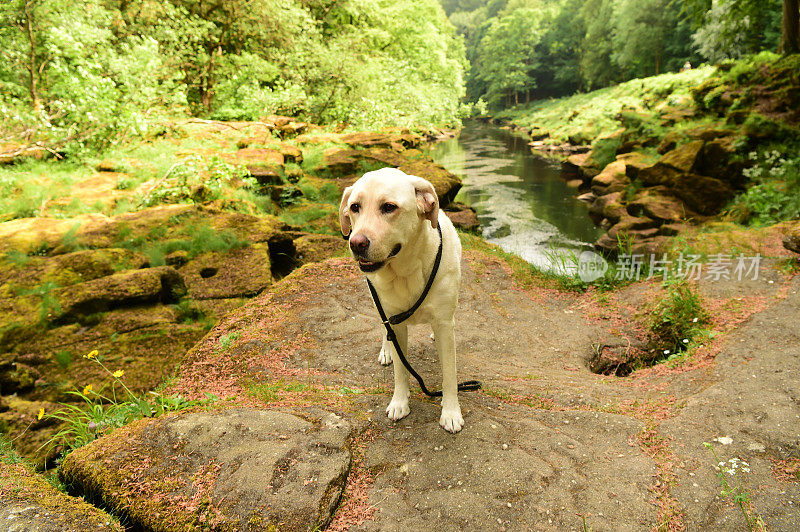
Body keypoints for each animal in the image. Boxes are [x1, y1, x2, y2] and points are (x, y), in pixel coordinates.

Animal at [338, 168, 462, 434]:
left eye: (389, 207)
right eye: (354, 207)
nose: (356, 243)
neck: (405, 271)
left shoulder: (445, 325)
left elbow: (449, 373)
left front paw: (450, 412)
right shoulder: (394, 322)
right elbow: (400, 369)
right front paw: (399, 402)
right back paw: (386, 351)